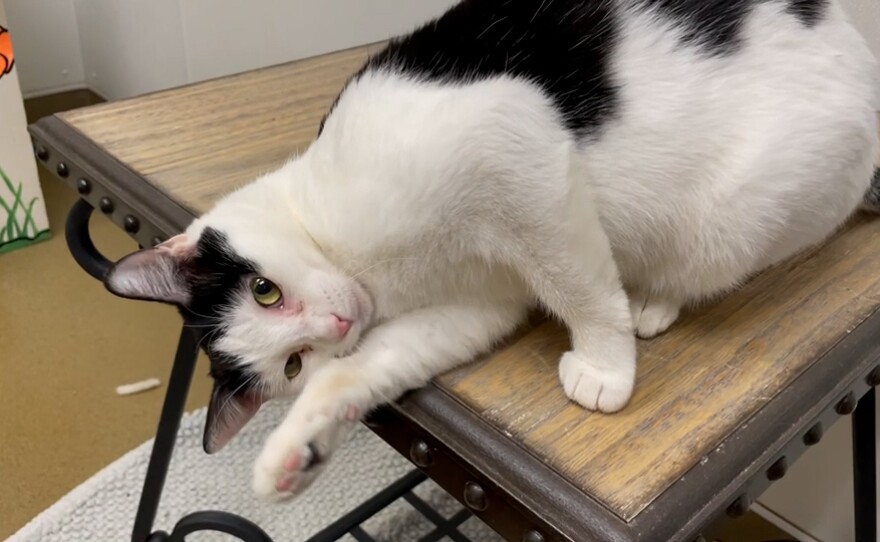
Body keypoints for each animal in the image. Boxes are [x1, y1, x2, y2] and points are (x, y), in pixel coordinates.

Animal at [105, 0, 880, 502]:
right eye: (291, 362)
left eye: (264, 291)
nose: (335, 324)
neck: (372, 271)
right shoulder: (474, 306)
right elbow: (358, 370)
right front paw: (297, 452)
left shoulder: (513, 148)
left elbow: (580, 288)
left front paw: (606, 363)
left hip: (742, 213)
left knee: (703, 259)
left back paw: (653, 299)